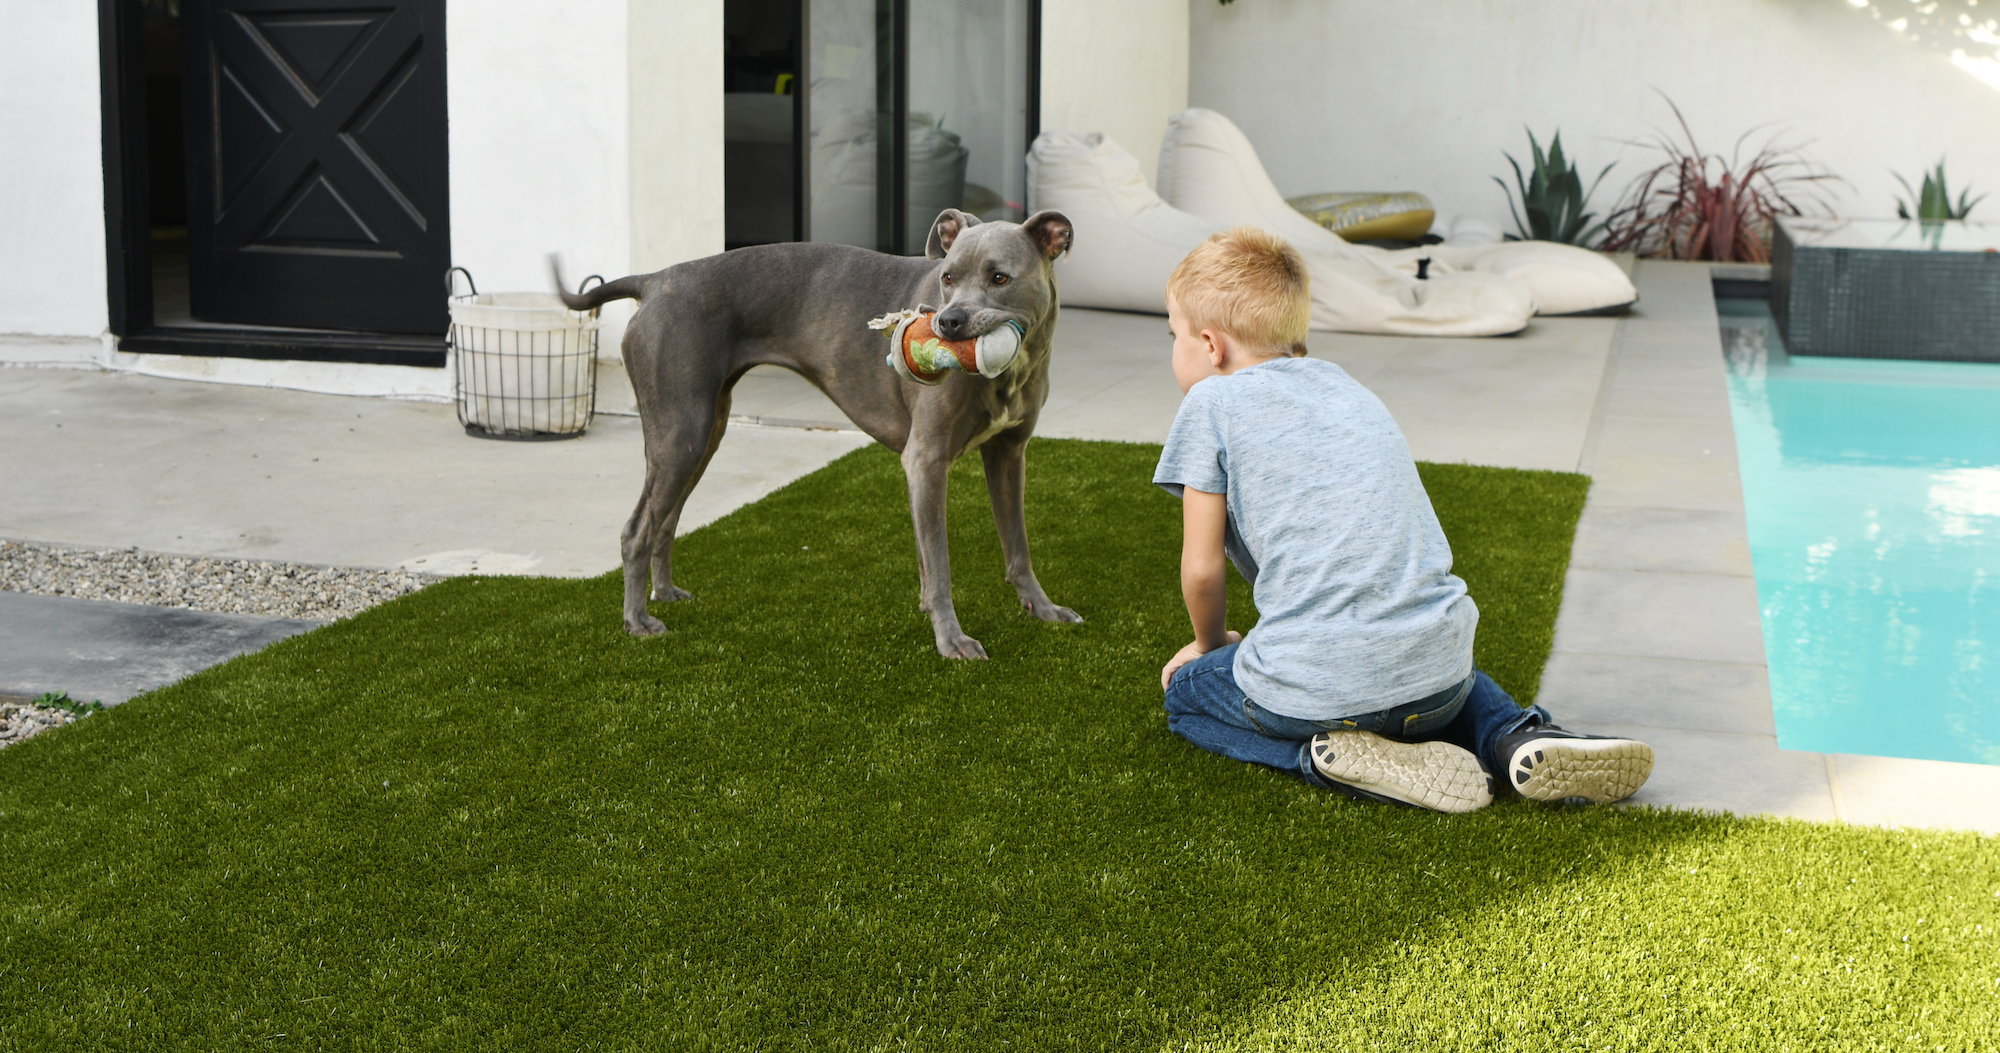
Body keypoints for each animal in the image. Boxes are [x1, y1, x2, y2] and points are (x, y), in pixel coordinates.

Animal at [556, 208, 1088, 660]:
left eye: (1000, 277)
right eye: (947, 278)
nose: (947, 321)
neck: (1012, 370)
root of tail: (655, 280)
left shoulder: (1008, 454)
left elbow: (1015, 545)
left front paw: (1042, 609)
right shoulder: (926, 459)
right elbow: (940, 562)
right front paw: (951, 639)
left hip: (705, 431)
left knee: (664, 519)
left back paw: (664, 593)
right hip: (680, 432)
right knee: (636, 529)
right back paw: (637, 620)